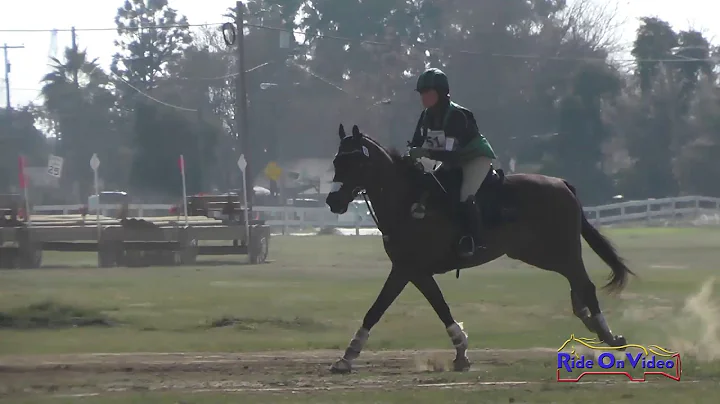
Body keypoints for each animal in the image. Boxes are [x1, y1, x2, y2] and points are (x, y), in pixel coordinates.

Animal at [324, 124, 632, 374]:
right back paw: (592, 322)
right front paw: (460, 351)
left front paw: (347, 357)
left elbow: (379, 309)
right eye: (337, 161)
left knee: (584, 283)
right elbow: (436, 307)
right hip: (538, 252)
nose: (333, 201)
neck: (406, 202)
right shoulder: (413, 271)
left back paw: (610, 336)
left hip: (557, 249)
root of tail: (562, 184)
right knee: (575, 281)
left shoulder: (408, 269)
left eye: (356, 162)